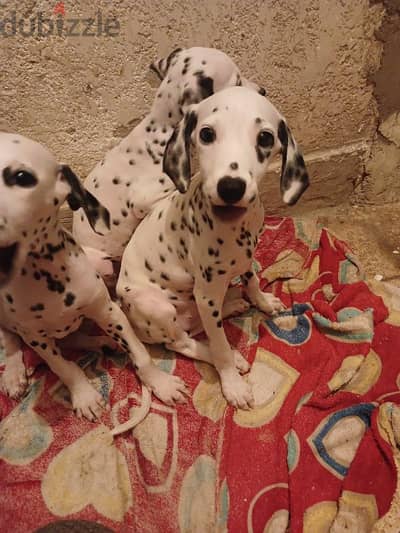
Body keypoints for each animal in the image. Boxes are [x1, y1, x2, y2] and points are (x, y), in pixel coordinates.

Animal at [0, 131, 188, 418]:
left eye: (21, 177)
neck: (47, 278)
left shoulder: (108, 311)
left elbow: (140, 354)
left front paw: (160, 383)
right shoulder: (37, 339)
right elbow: (63, 367)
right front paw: (84, 395)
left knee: (75, 338)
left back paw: (102, 342)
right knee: (10, 341)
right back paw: (13, 374)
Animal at [115, 86, 310, 408]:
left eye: (265, 138)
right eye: (206, 134)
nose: (231, 187)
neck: (235, 229)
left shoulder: (247, 255)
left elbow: (252, 279)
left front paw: (262, 301)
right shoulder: (205, 292)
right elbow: (218, 344)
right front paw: (232, 384)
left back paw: (232, 303)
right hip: (157, 306)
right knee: (182, 341)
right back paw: (229, 355)